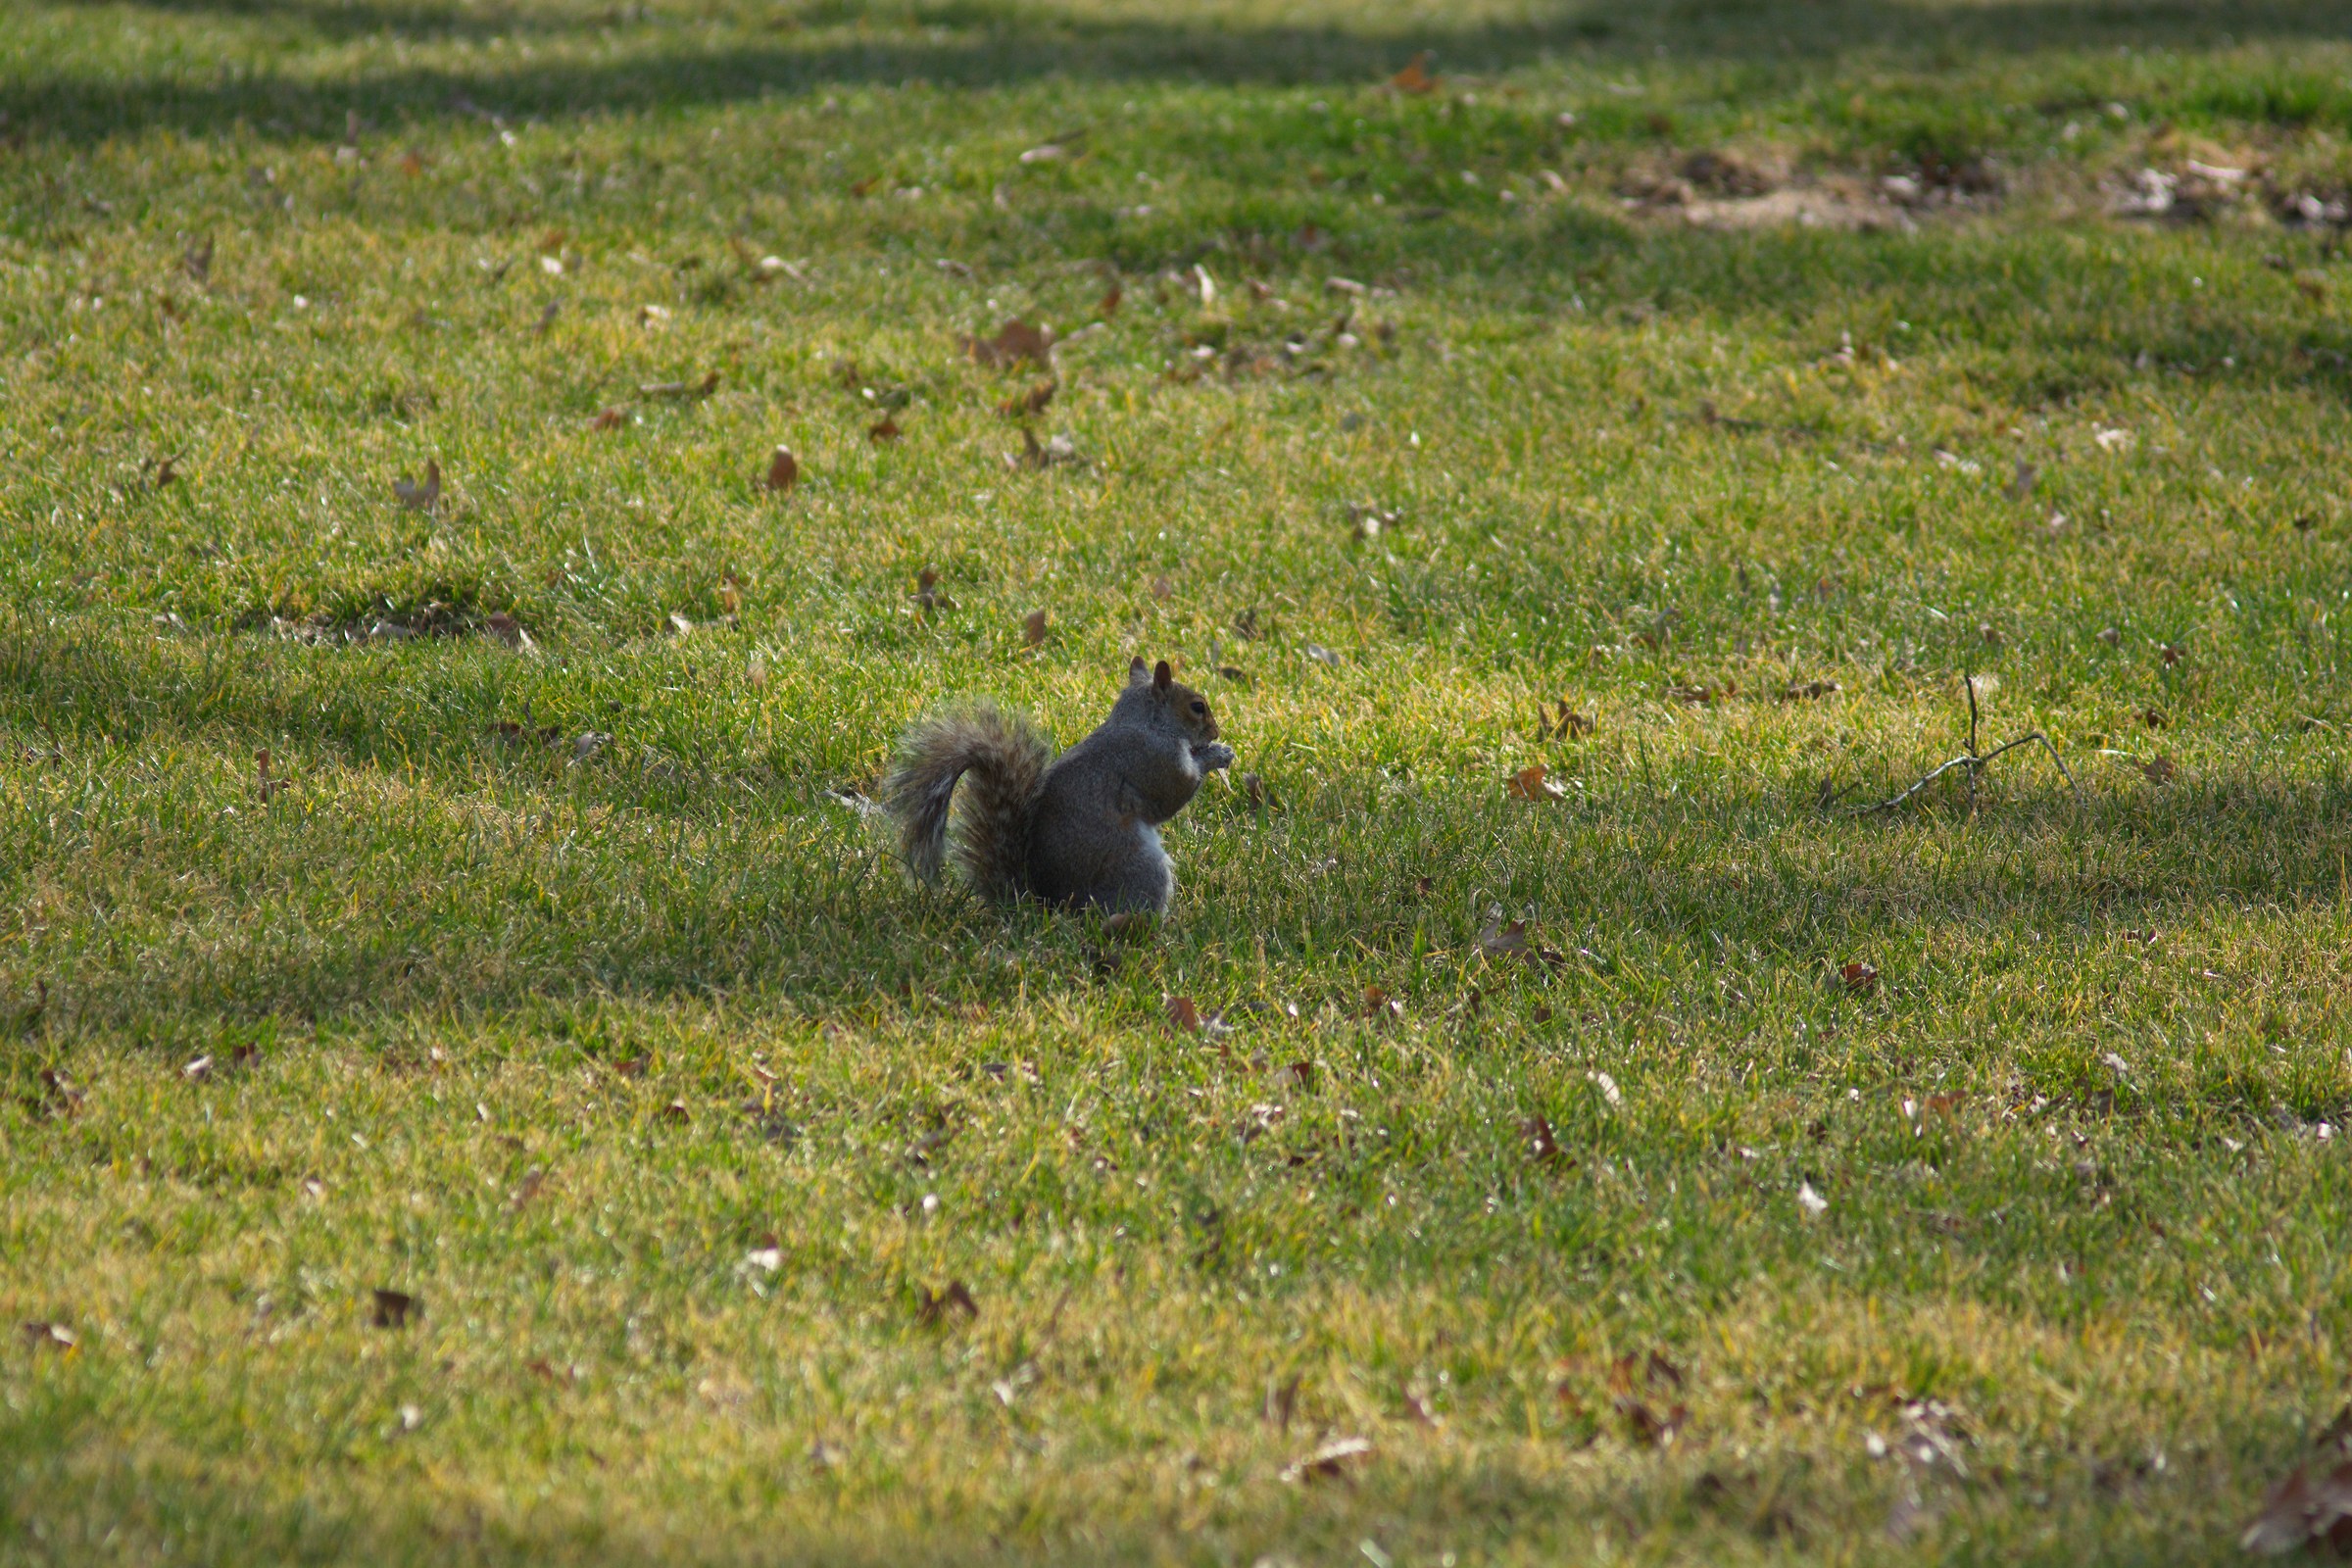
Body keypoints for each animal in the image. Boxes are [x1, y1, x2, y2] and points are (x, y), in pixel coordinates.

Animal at [883, 657, 1235, 915]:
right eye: (1197, 707)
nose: (1215, 732)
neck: (1145, 723)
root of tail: (1048, 905)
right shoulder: (1153, 760)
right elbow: (1173, 795)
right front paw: (1215, 756)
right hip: (1139, 867)